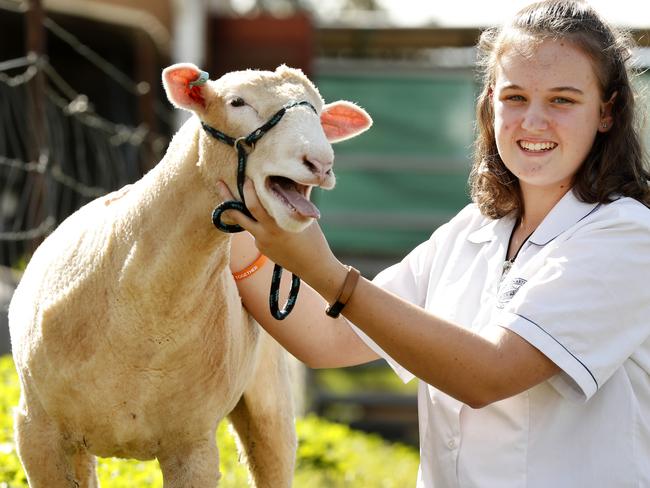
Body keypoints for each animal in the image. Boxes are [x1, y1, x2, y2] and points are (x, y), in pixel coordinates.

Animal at [8, 63, 370, 486]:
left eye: (319, 112)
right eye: (237, 102)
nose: (320, 163)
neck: (142, 313)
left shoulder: (193, 446)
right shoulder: (35, 431)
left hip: (271, 403)